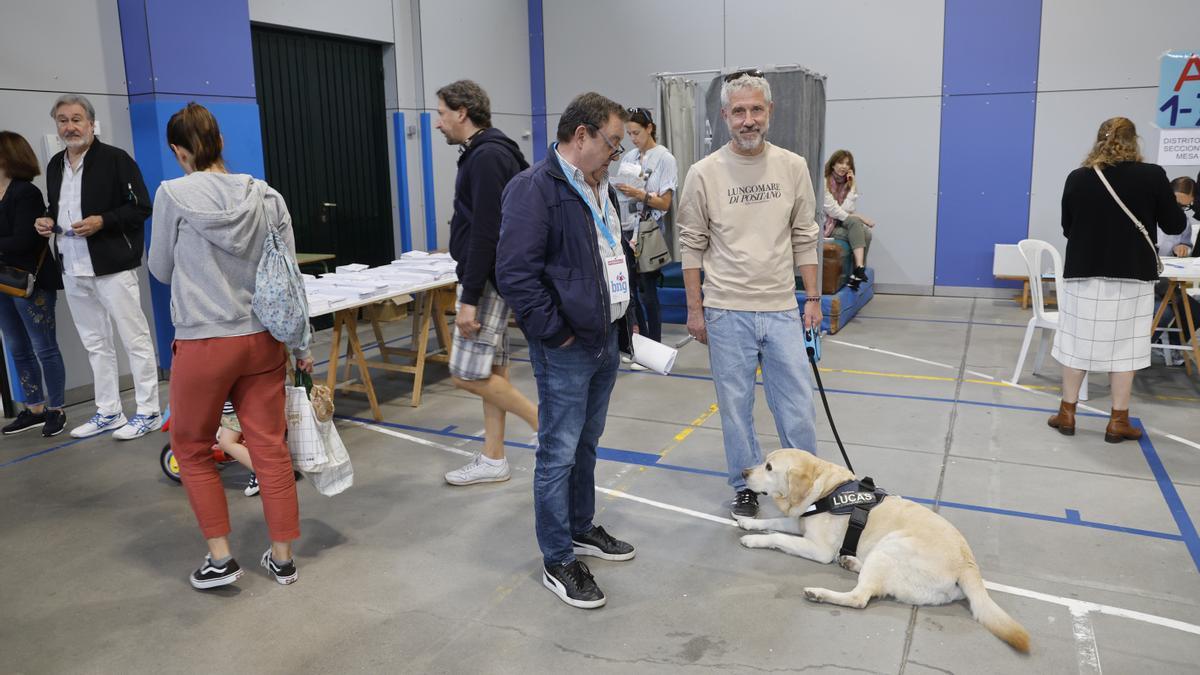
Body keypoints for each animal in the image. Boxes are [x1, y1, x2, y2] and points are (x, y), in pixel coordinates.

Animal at [734, 449, 1027, 648]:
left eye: (769, 467)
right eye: (763, 461)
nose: (744, 473)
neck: (826, 490)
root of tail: (968, 563)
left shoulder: (819, 549)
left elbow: (777, 537)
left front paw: (753, 539)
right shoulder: (798, 523)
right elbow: (772, 522)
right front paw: (749, 523)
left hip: (891, 546)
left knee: (860, 597)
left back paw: (819, 593)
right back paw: (850, 562)